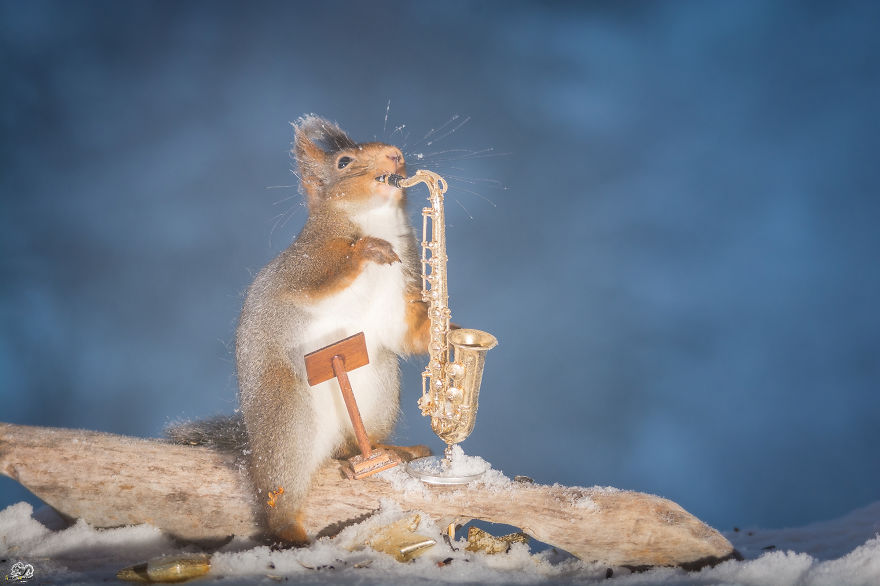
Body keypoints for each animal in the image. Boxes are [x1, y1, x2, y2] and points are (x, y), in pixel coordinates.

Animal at [169, 115, 430, 544]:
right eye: (344, 162)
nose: (396, 155)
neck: (377, 219)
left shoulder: (399, 292)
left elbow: (405, 333)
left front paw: (449, 329)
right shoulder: (306, 263)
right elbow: (323, 277)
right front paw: (367, 249)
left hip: (376, 385)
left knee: (352, 448)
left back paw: (392, 451)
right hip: (288, 417)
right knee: (279, 492)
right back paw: (292, 532)